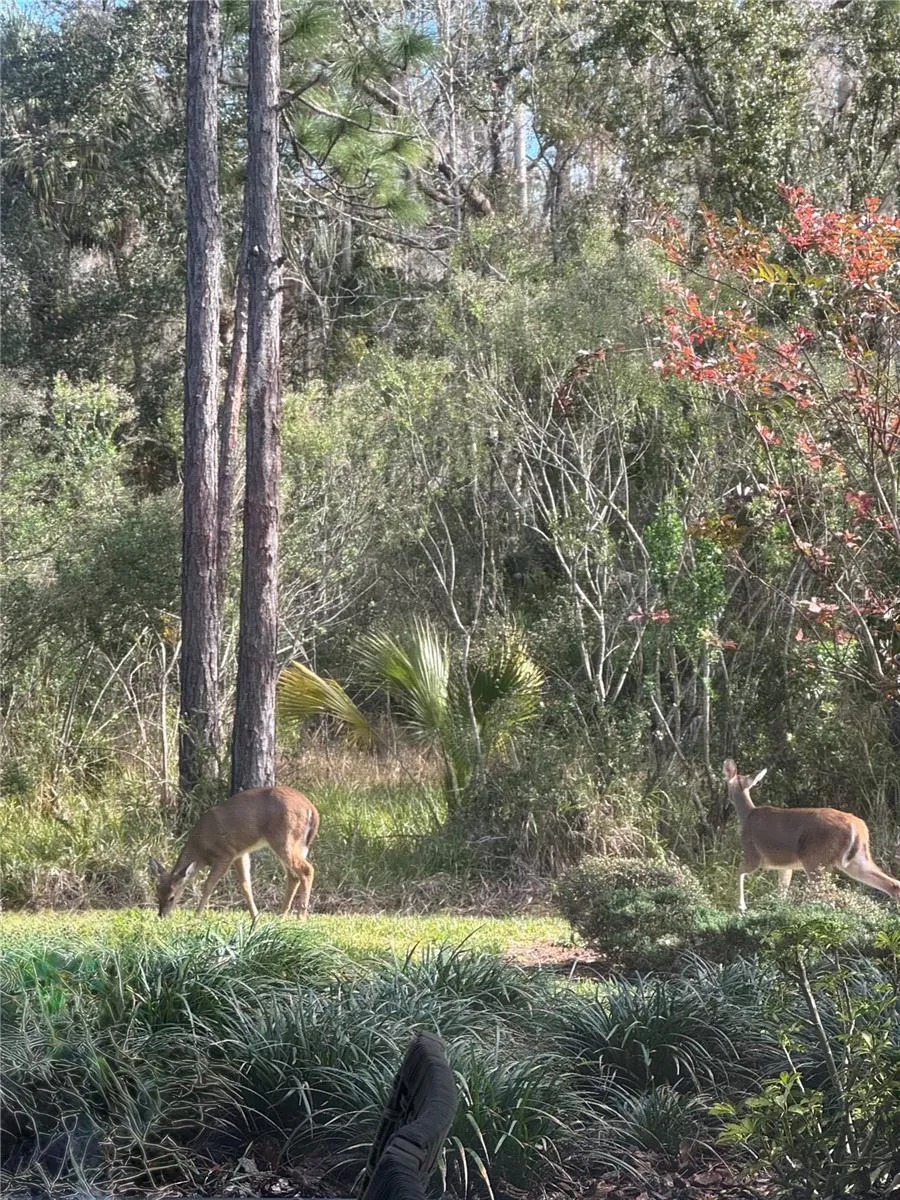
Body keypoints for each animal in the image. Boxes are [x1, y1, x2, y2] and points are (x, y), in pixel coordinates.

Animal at [149, 786, 319, 919]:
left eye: (172, 897)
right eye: (157, 893)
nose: (161, 915)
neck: (201, 849)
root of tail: (312, 809)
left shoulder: (225, 853)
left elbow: (209, 884)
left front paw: (197, 915)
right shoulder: (240, 853)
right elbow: (245, 885)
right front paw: (255, 916)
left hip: (283, 839)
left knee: (306, 870)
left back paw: (300, 916)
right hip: (295, 844)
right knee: (293, 876)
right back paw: (281, 915)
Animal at [723, 759, 900, 913]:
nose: (726, 800)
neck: (747, 815)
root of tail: (857, 826)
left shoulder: (753, 853)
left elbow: (738, 872)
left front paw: (741, 906)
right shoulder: (785, 865)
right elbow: (782, 889)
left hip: (815, 858)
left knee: (829, 894)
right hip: (857, 859)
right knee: (892, 884)